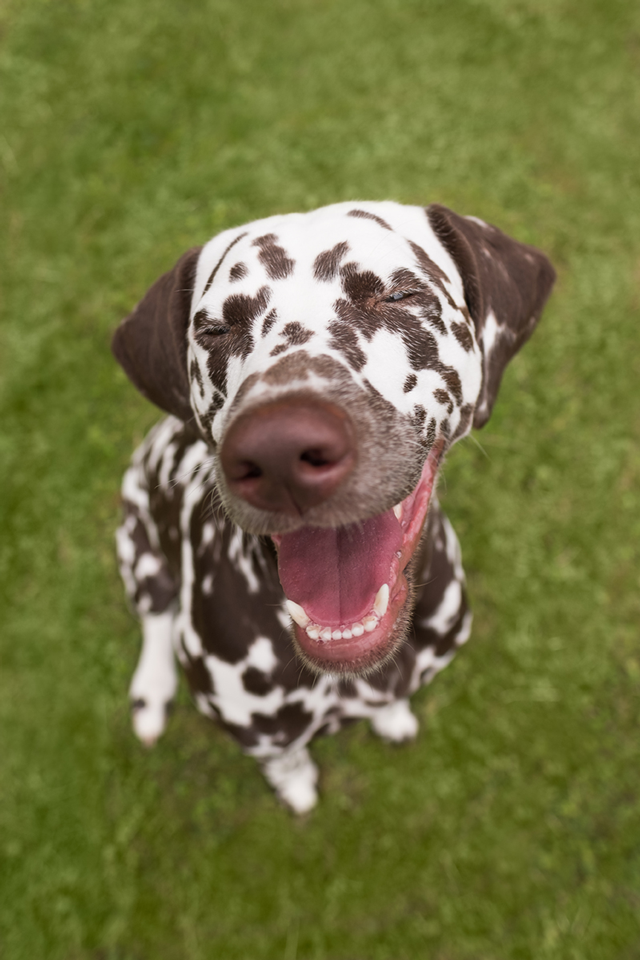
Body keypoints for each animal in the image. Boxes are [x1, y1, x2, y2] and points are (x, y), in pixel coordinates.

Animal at [114, 201, 556, 808]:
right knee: (156, 617)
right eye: (215, 329)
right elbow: (285, 758)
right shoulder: (263, 735)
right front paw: (296, 785)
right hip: (136, 546)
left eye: (398, 295)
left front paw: (393, 718)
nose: (278, 450)